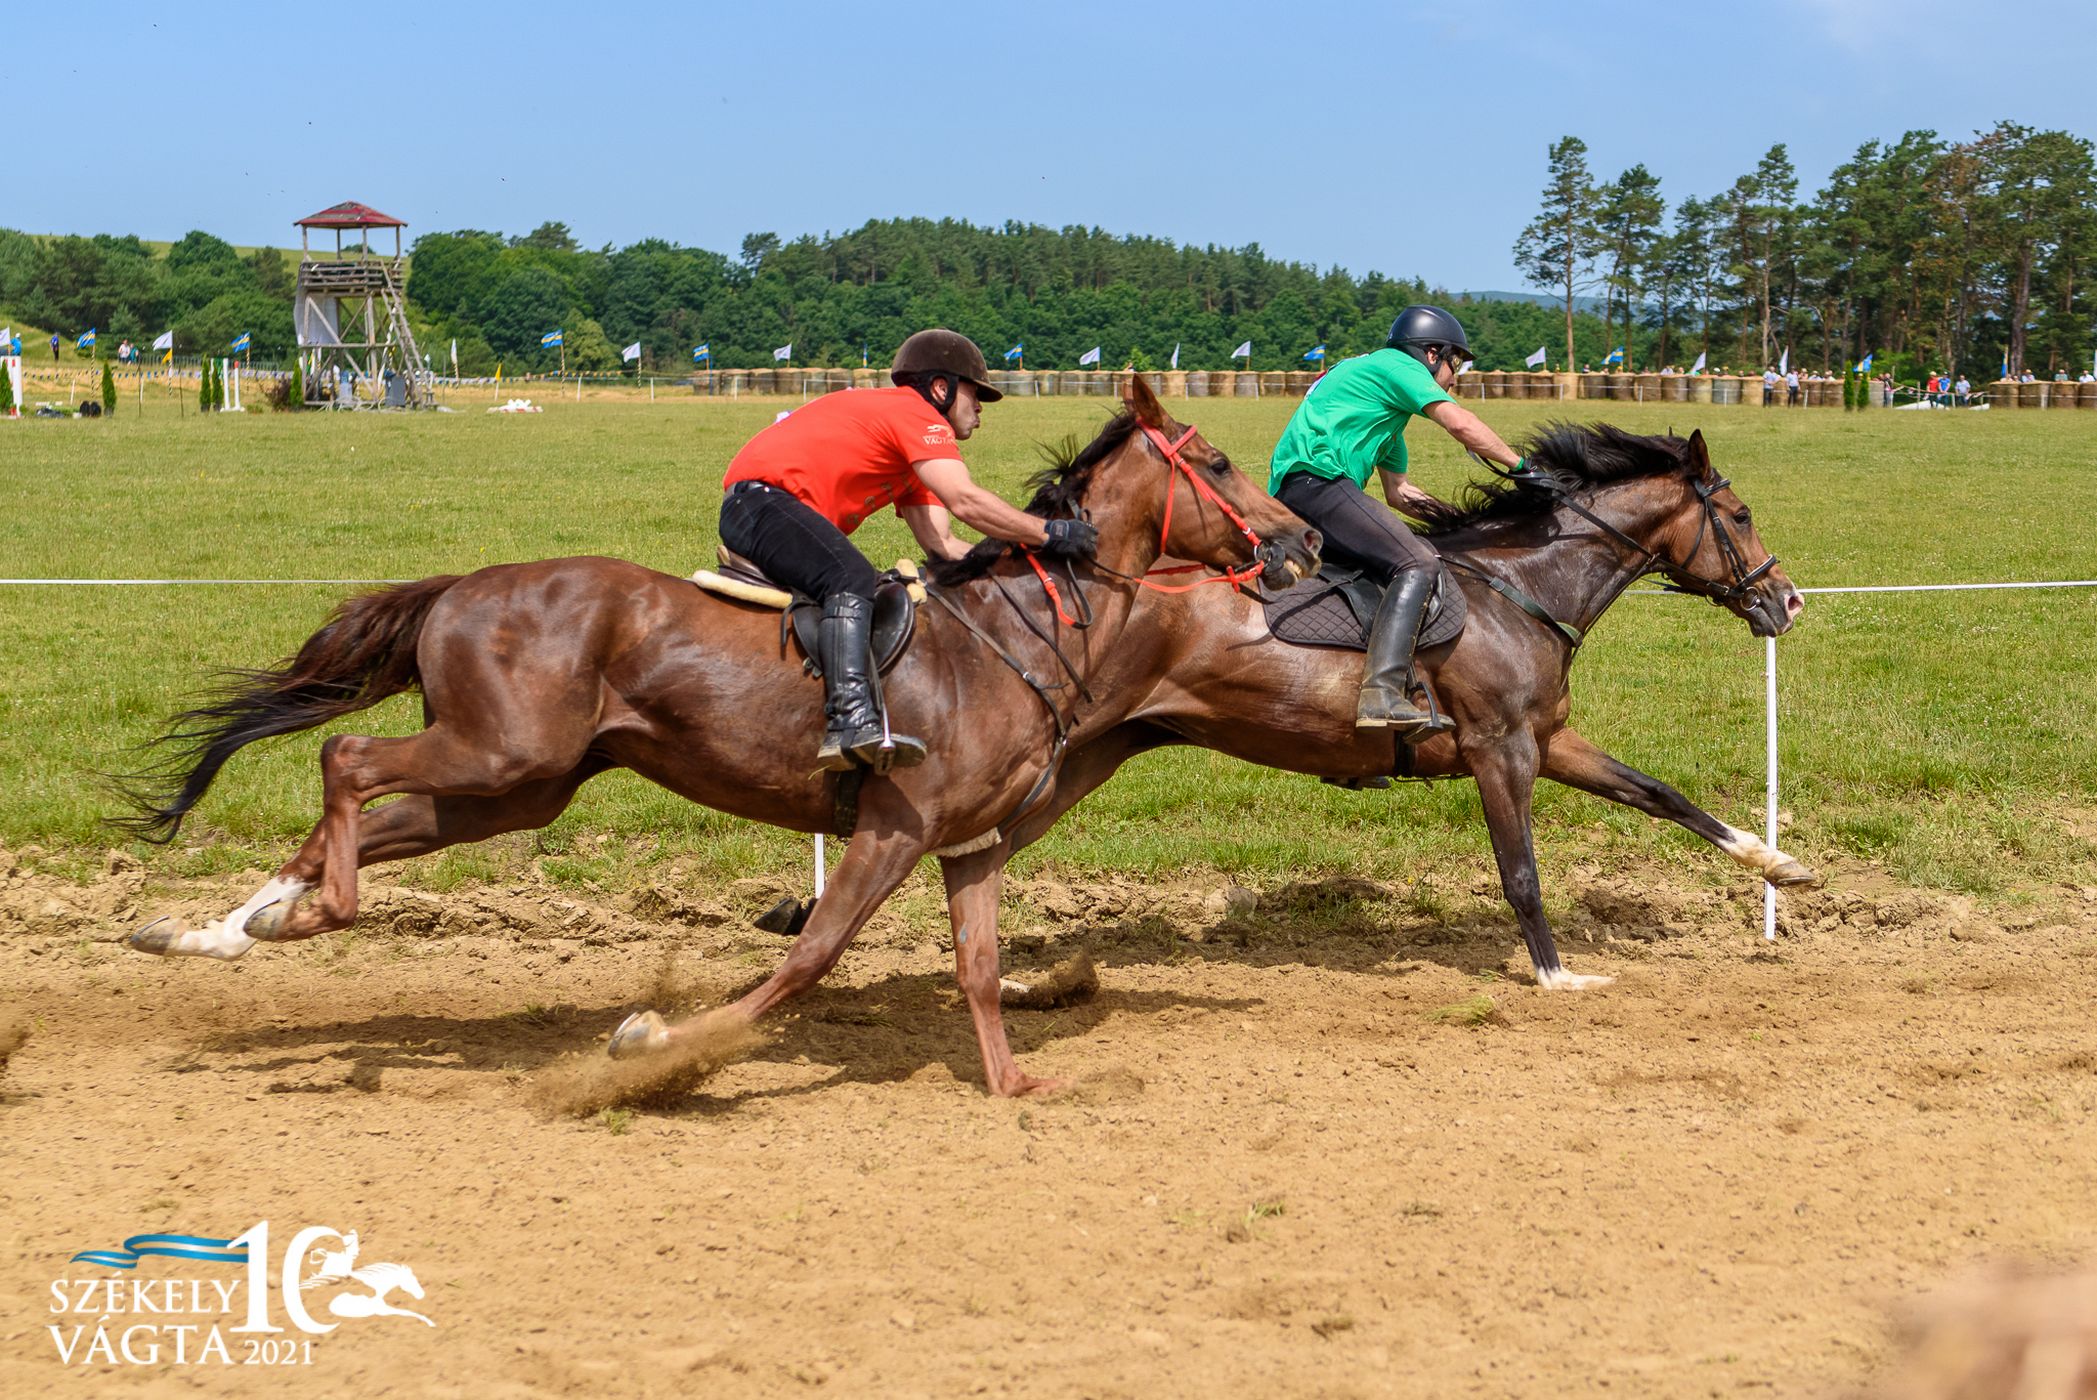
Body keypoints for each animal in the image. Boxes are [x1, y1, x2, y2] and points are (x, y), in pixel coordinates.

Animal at [119, 377, 1308, 1098]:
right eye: (1217, 458)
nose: (1296, 542)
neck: (1018, 631)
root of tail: (460, 584)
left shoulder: (965, 844)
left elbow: (976, 968)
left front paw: (1015, 1083)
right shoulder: (894, 823)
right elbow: (810, 958)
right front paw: (655, 1045)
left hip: (517, 785)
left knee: (364, 816)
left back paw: (240, 927)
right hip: (502, 753)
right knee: (346, 762)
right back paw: (316, 911)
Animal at [960, 421, 1811, 989]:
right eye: (1738, 517)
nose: (1788, 601)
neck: (1521, 586)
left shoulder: (1546, 740)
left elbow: (1660, 795)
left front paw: (1778, 863)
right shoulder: (1500, 751)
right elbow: (1521, 873)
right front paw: (1554, 974)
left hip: (1092, 756)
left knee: (988, 855)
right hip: (1060, 754)